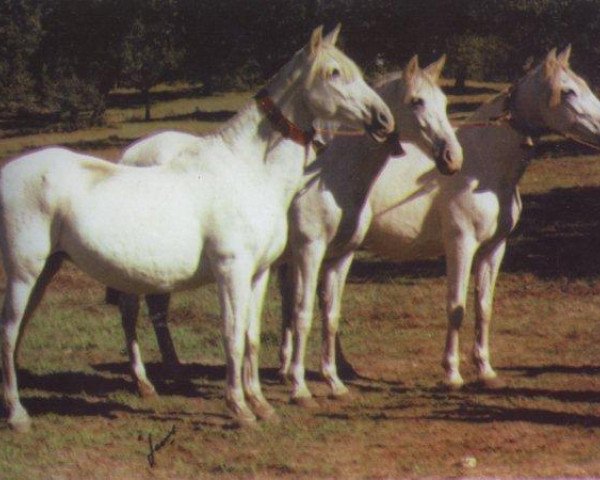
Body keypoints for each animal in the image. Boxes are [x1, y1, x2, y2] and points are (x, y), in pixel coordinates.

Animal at [0, 26, 394, 432]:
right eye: (334, 73)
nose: (383, 119)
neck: (247, 171)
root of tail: (8, 172)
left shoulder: (258, 274)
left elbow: (251, 337)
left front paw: (260, 403)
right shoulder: (231, 271)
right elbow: (232, 337)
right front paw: (239, 408)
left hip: (48, 267)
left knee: (23, 329)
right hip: (24, 271)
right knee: (10, 330)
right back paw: (17, 415)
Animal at [364, 46, 600, 390]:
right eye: (568, 91)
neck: (481, 166)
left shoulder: (494, 247)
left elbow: (483, 306)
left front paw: (485, 370)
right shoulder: (461, 245)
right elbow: (456, 307)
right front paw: (451, 374)